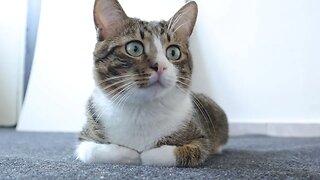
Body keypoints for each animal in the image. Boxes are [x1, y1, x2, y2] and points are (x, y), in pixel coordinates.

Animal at [76, 0, 229, 167]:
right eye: (134, 48)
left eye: (174, 52)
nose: (160, 66)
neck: (142, 109)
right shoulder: (85, 137)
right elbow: (92, 151)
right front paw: (131, 154)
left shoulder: (199, 137)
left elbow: (188, 150)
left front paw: (146, 155)